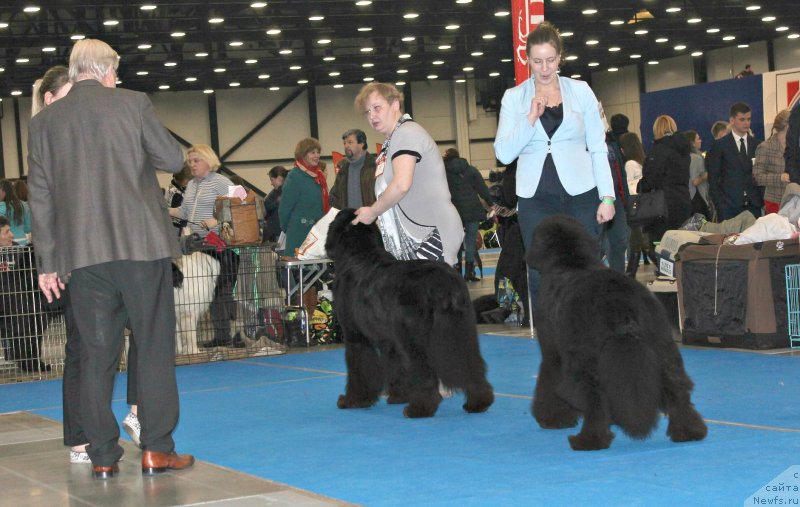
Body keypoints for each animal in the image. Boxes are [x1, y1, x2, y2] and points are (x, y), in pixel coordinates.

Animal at [324, 208, 494, 418]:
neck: (358, 254)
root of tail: (443, 283)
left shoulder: (355, 335)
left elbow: (359, 369)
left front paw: (353, 400)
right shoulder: (390, 340)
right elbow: (396, 366)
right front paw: (398, 396)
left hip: (415, 337)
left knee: (424, 372)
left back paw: (419, 408)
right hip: (458, 331)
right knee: (470, 366)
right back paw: (478, 402)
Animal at [532, 214, 708, 452]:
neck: (569, 260)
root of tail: (619, 302)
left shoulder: (553, 353)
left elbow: (549, 382)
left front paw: (553, 417)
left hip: (584, 358)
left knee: (593, 396)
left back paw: (589, 440)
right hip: (662, 347)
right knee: (677, 389)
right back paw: (689, 431)